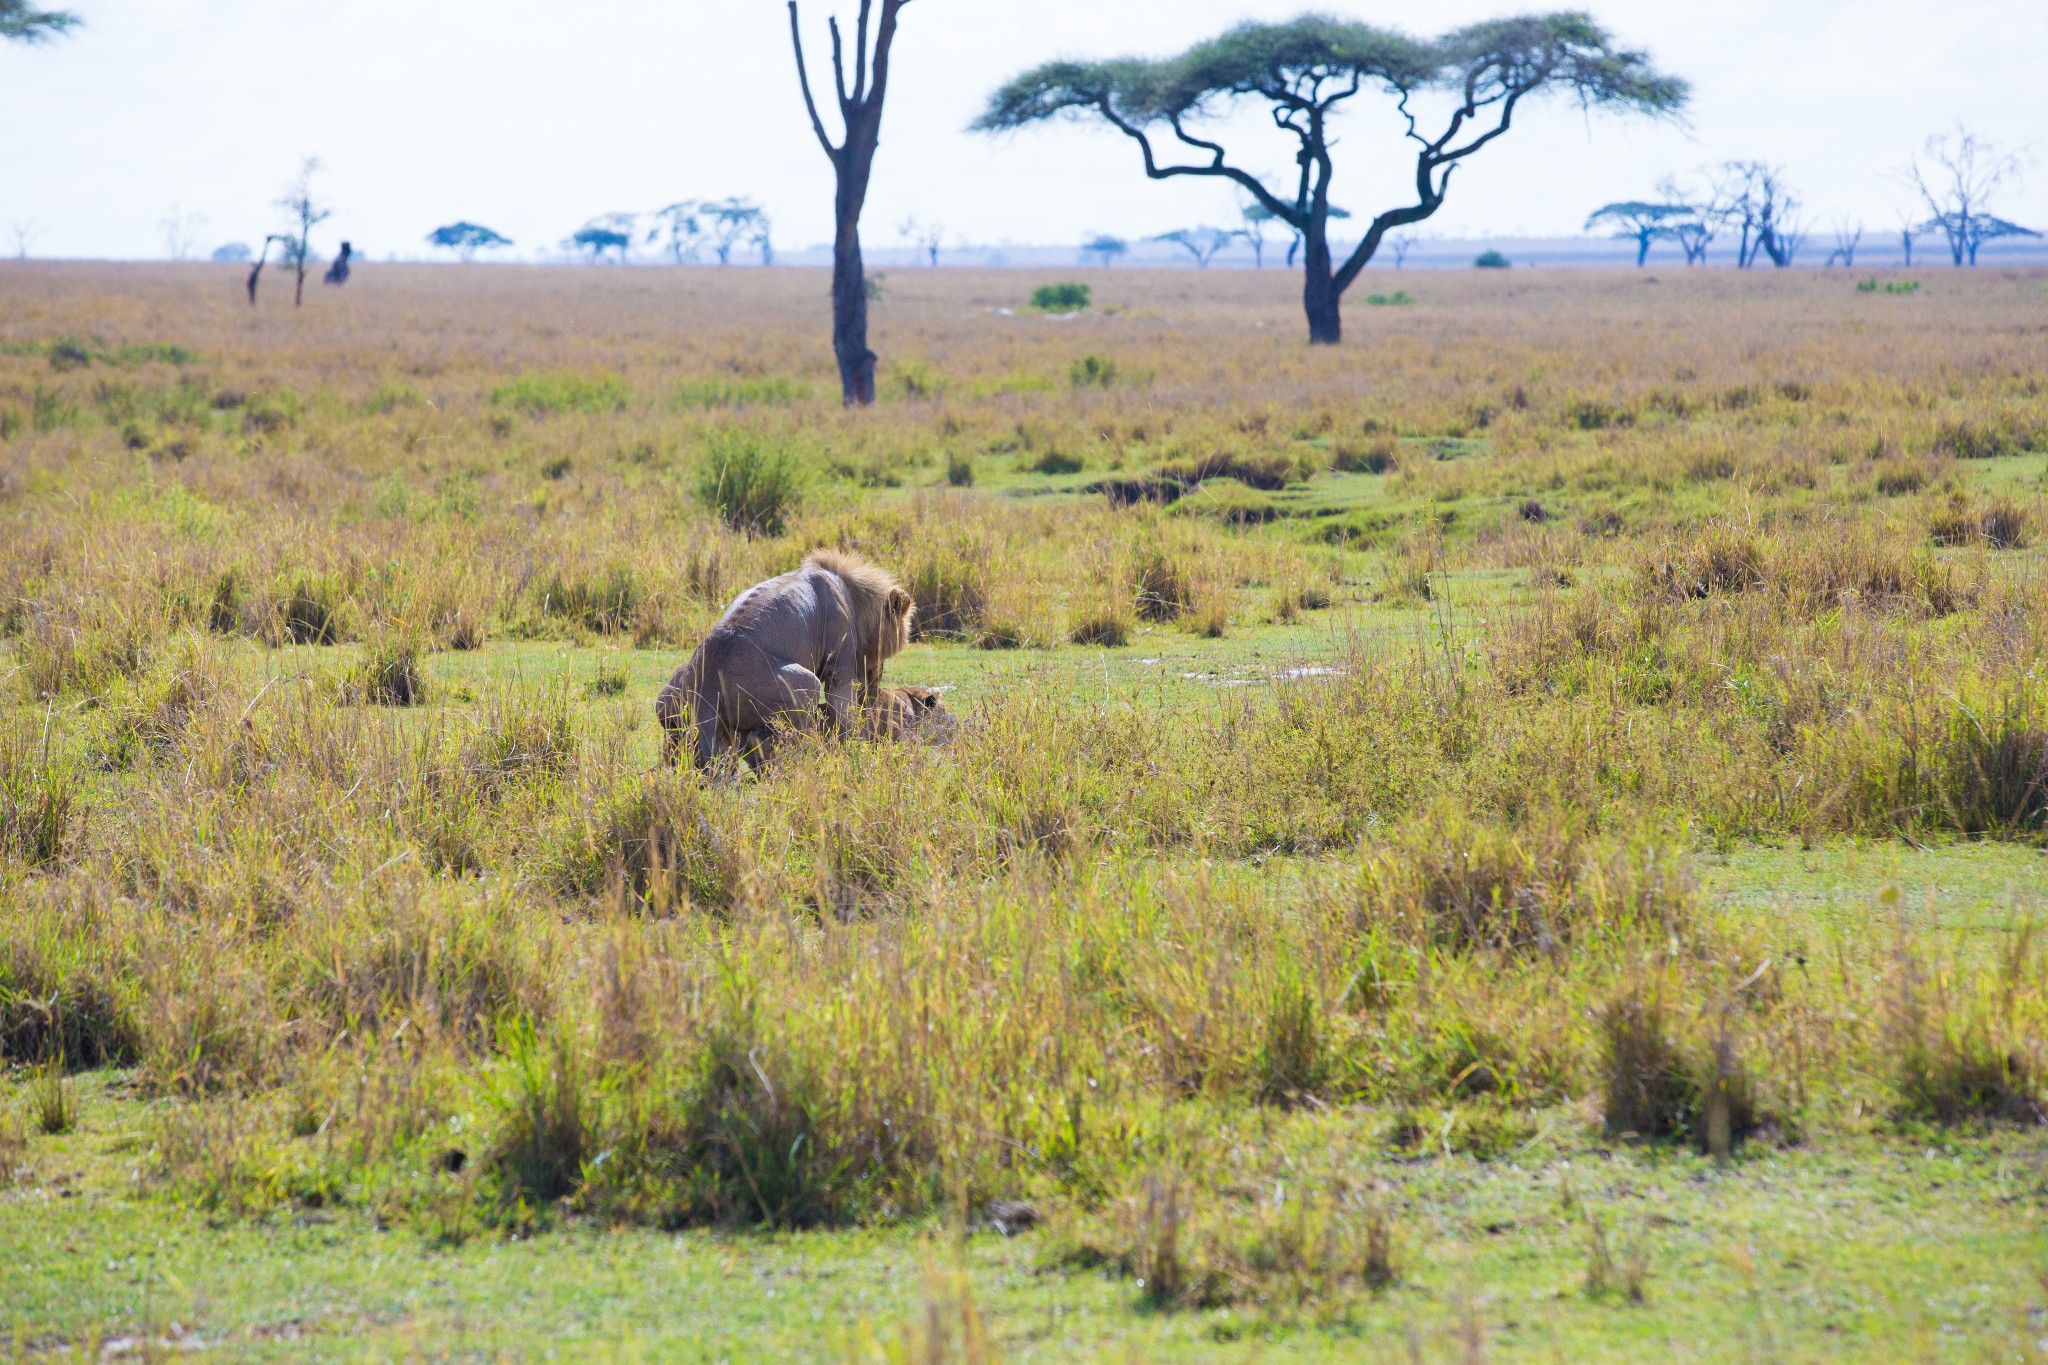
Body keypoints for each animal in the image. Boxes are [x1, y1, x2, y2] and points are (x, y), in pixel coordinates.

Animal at [655, 548, 913, 773]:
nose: (877, 681)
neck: (851, 594)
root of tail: (708, 680)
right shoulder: (841, 666)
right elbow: (844, 715)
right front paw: (857, 751)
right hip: (806, 685)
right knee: (772, 741)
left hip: (667, 704)